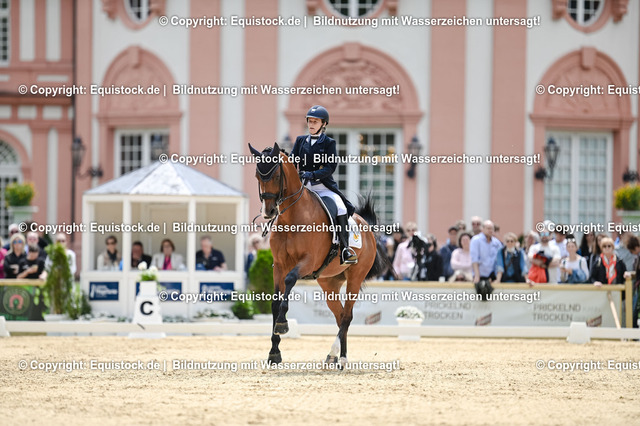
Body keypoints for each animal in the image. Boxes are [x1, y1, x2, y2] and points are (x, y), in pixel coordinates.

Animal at [249, 142, 392, 368]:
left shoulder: (307, 262)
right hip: (329, 282)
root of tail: (366, 226)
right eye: (257, 175)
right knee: (340, 314)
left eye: (276, 175)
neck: (291, 218)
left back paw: (339, 355)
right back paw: (336, 356)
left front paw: (282, 324)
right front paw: (274, 353)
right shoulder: (279, 265)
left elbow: (289, 282)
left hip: (355, 277)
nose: (269, 212)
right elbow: (274, 302)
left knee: (347, 316)